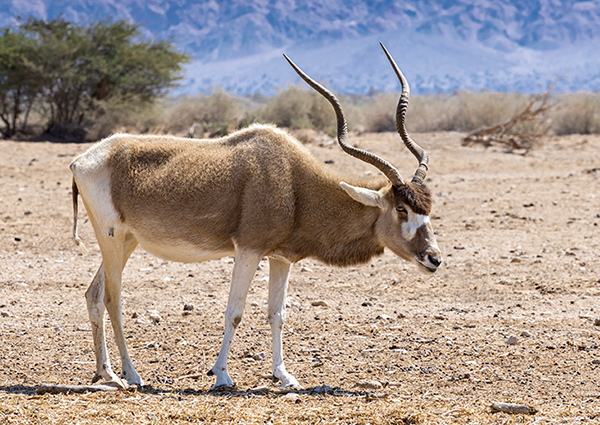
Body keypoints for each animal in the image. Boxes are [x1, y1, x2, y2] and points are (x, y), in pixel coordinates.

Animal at [70, 42, 442, 388]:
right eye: (401, 208)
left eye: (428, 208)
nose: (434, 258)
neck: (293, 182)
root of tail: (81, 161)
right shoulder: (248, 250)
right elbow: (234, 312)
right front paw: (221, 375)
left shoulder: (281, 258)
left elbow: (277, 314)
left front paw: (284, 375)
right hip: (112, 238)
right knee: (113, 299)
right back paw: (131, 375)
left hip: (126, 242)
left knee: (93, 295)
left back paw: (106, 373)